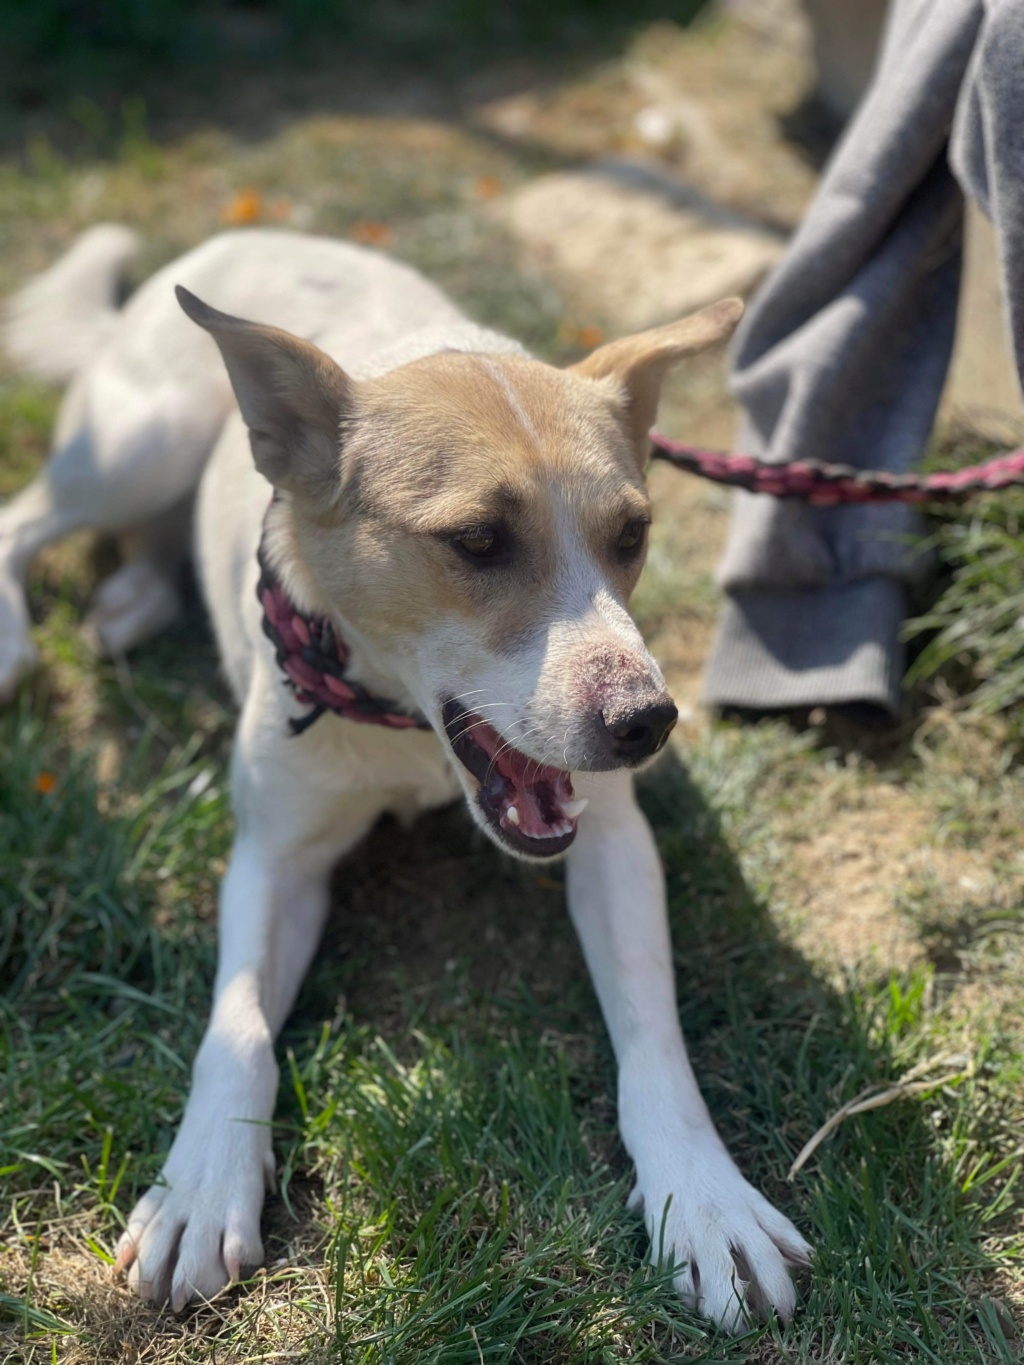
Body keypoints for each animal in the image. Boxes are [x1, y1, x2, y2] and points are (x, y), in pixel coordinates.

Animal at [4, 229, 813, 1326]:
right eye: (477, 541)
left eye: (632, 536)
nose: (646, 722)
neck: (405, 729)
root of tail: (249, 236)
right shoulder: (272, 860)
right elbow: (237, 1028)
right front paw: (202, 1184)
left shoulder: (612, 842)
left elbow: (654, 1034)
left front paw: (704, 1198)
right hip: (142, 441)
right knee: (25, 518)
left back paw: (136, 594)